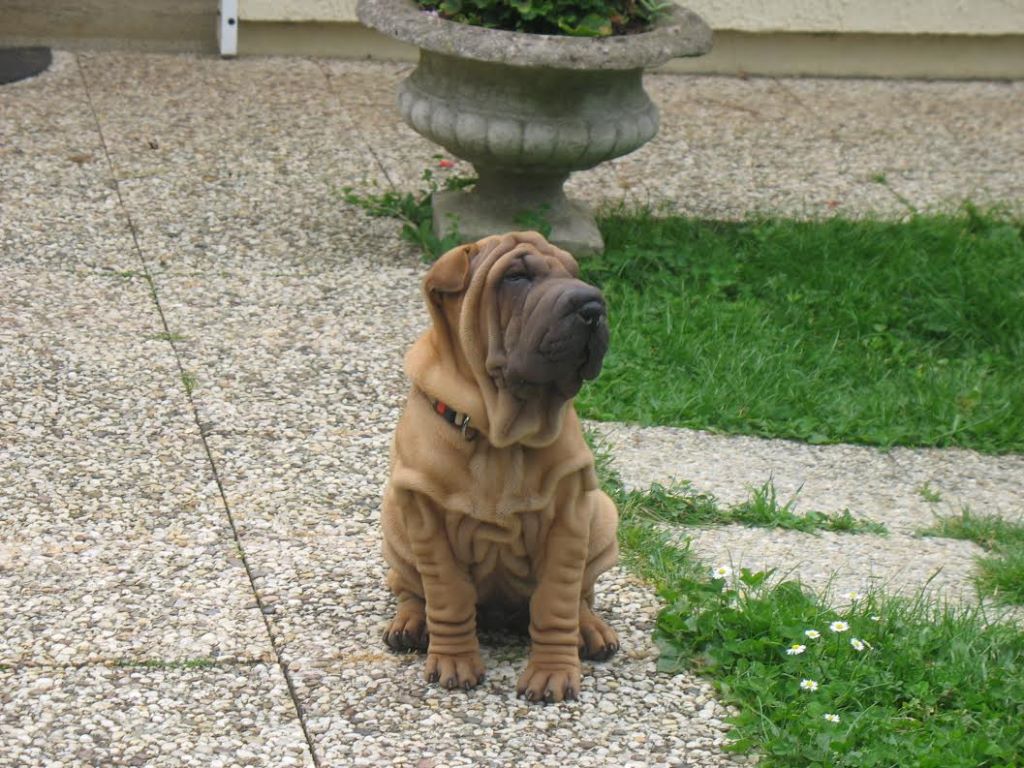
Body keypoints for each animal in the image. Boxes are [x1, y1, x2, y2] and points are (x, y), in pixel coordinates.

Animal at [380, 230, 618, 704]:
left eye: (575, 272)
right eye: (516, 277)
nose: (593, 306)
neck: (500, 435)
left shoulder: (570, 515)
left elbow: (557, 599)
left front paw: (552, 673)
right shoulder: (425, 515)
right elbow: (447, 594)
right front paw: (454, 662)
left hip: (603, 516)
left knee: (583, 596)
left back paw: (591, 629)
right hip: (394, 523)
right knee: (409, 589)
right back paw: (410, 623)